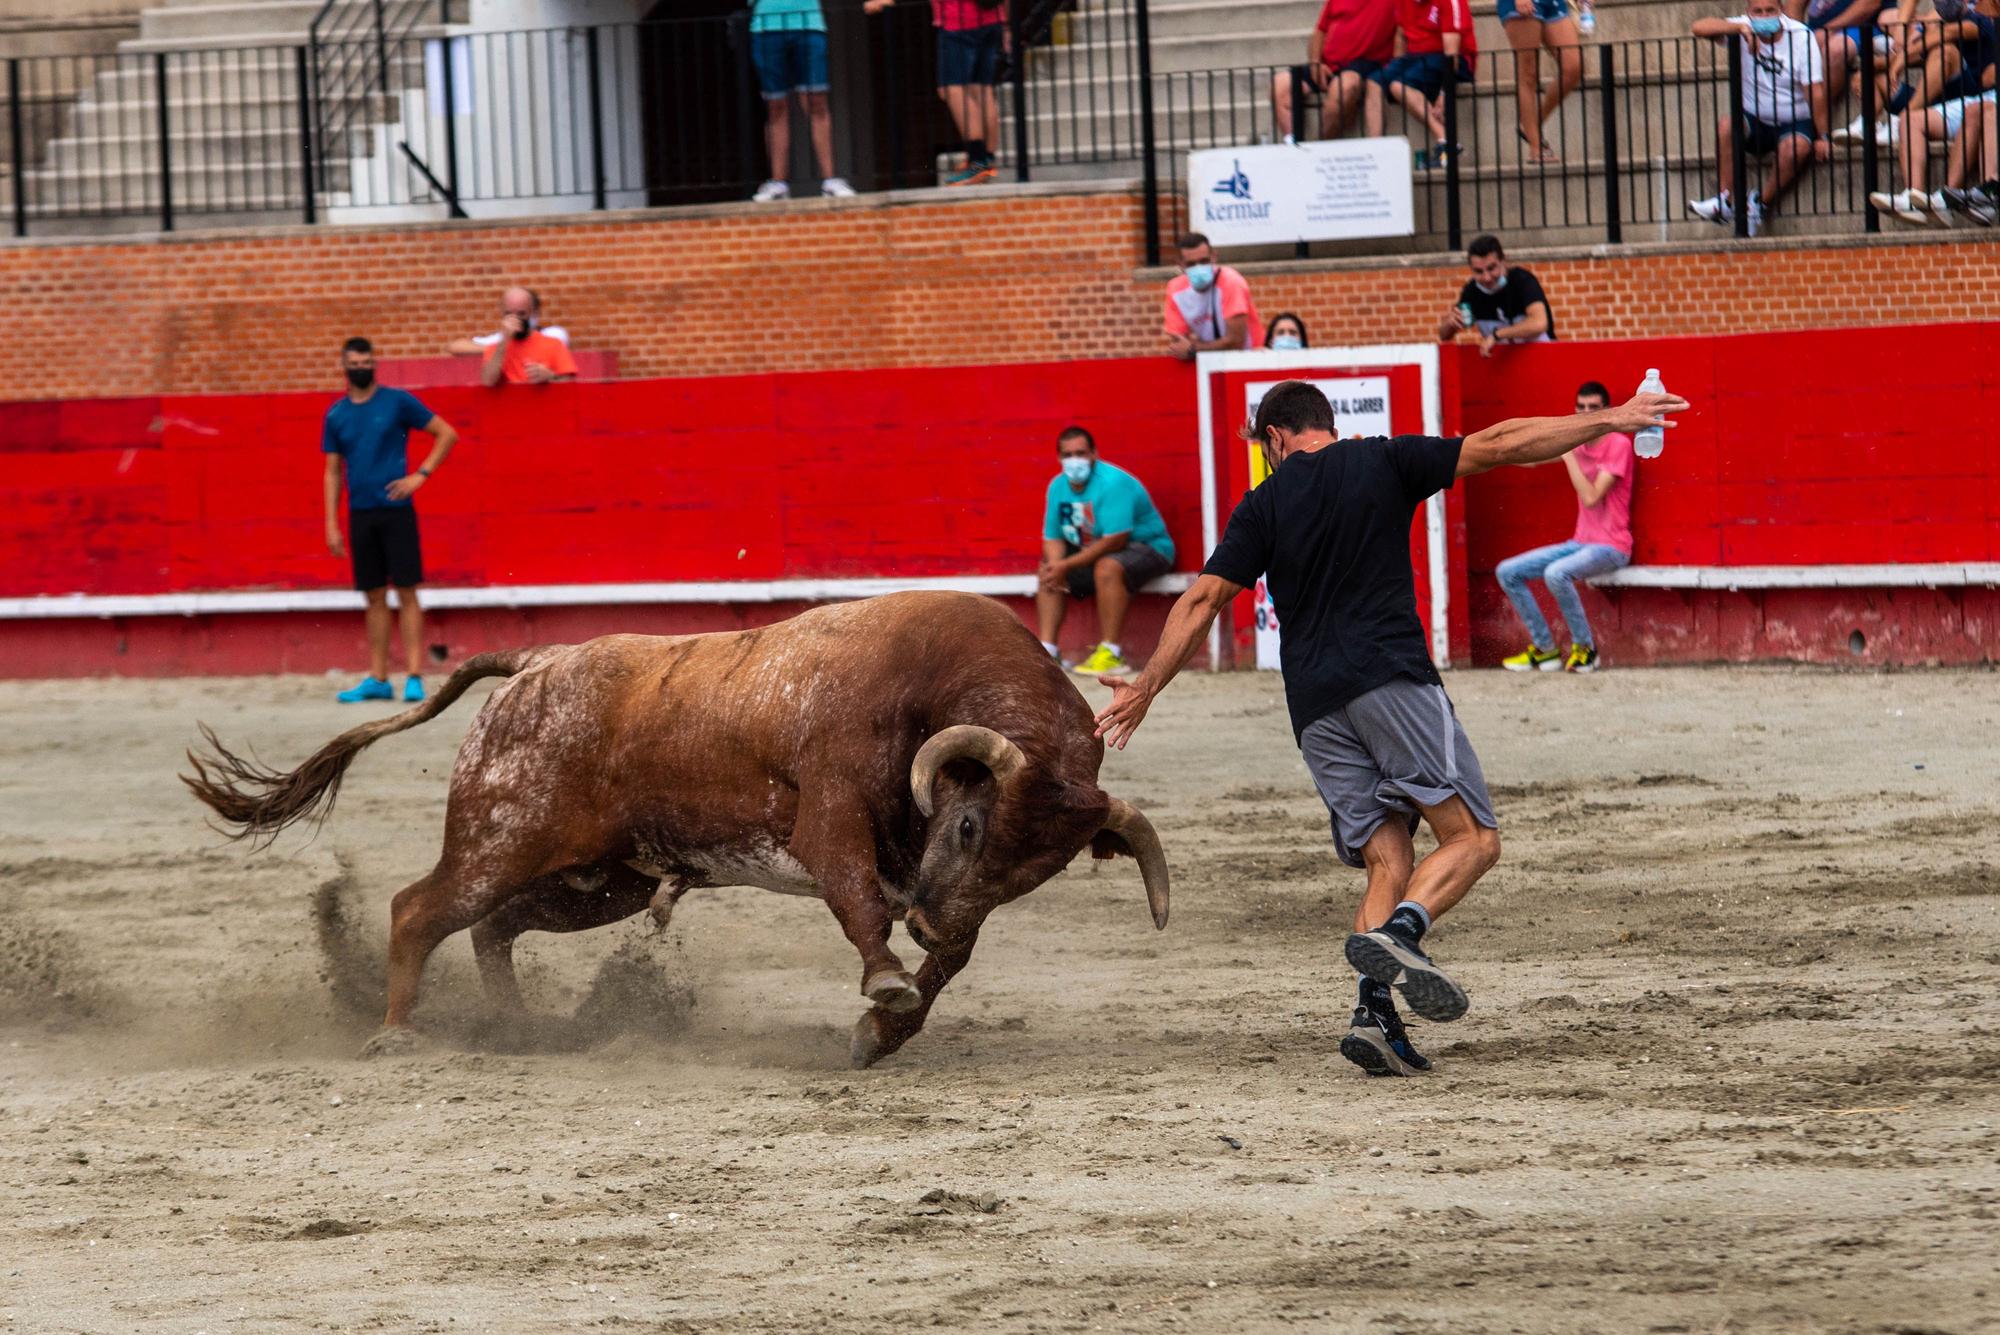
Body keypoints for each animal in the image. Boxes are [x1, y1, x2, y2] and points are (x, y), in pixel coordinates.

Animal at [184, 591, 1168, 1063]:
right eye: (965, 826)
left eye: (1029, 875)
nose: (930, 919)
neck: (934, 681)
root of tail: (539, 661)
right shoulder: (830, 822)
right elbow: (860, 904)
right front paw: (886, 984)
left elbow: (948, 965)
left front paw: (882, 1030)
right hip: (500, 838)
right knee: (420, 909)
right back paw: (397, 1034)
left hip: (595, 881)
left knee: (495, 928)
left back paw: (518, 1027)